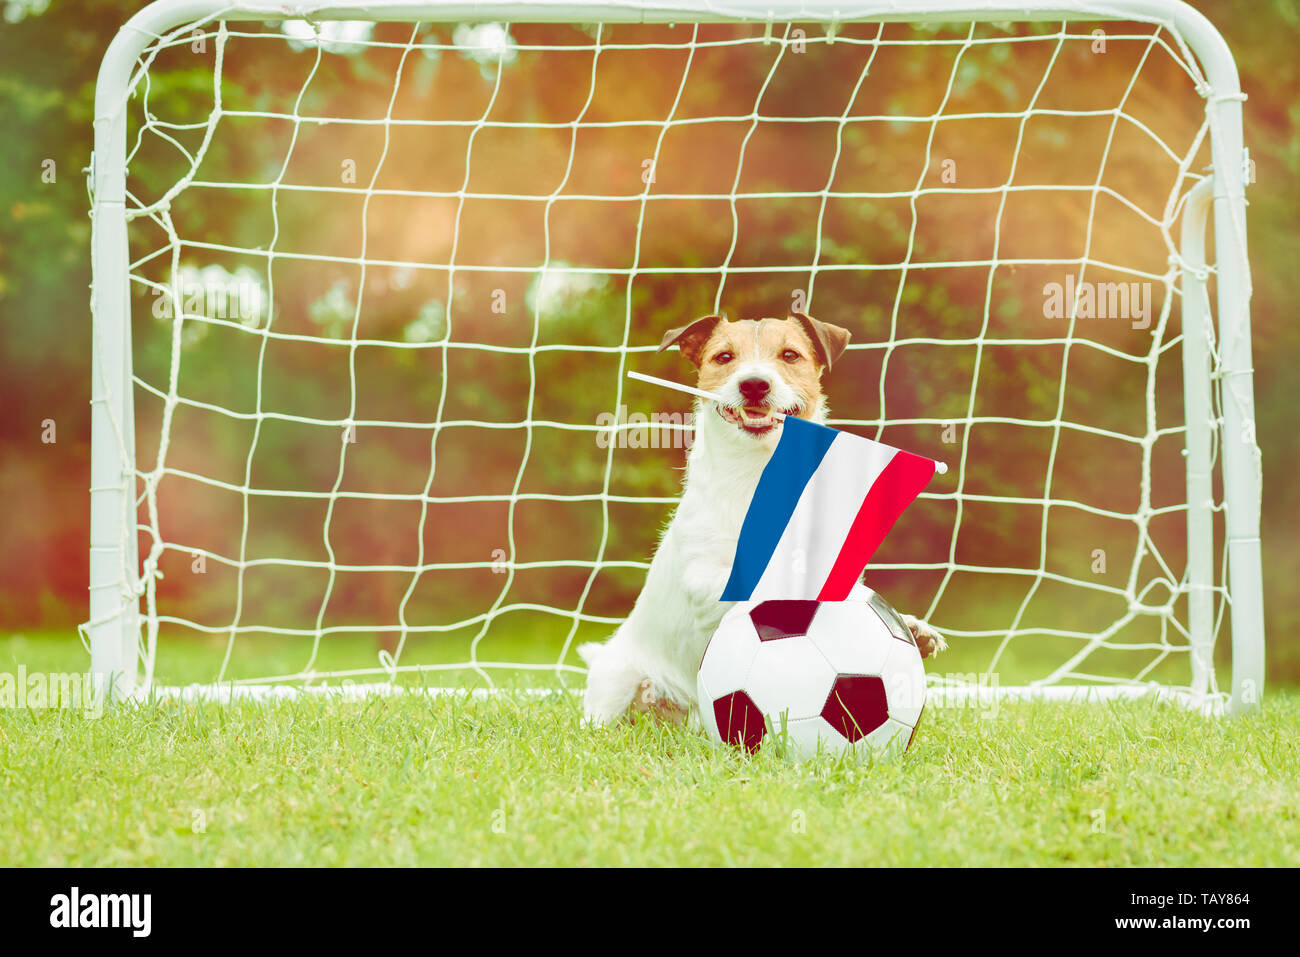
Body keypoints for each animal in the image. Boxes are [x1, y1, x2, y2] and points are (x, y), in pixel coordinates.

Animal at [579, 314, 946, 722]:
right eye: (724, 357)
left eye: (790, 354)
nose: (754, 383)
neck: (760, 473)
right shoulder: (705, 577)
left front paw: (912, 627)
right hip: (617, 681)